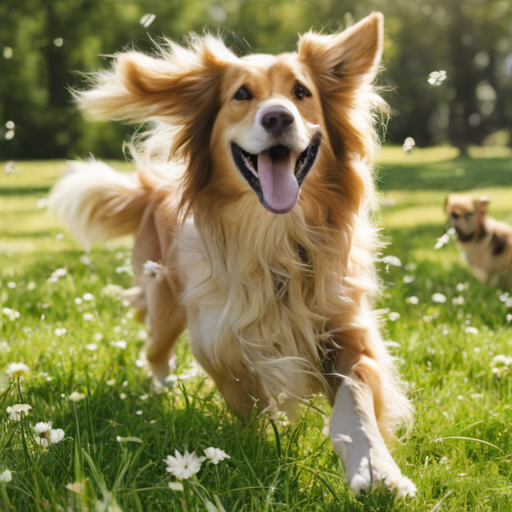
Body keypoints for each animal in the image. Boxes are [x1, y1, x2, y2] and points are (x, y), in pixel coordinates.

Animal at [49, 14, 416, 498]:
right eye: (241, 94)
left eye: (301, 92)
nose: (278, 116)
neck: (277, 240)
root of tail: (153, 187)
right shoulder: (218, 342)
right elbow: (246, 398)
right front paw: (254, 450)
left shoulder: (347, 329)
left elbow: (354, 403)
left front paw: (376, 470)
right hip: (165, 306)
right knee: (155, 351)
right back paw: (163, 391)